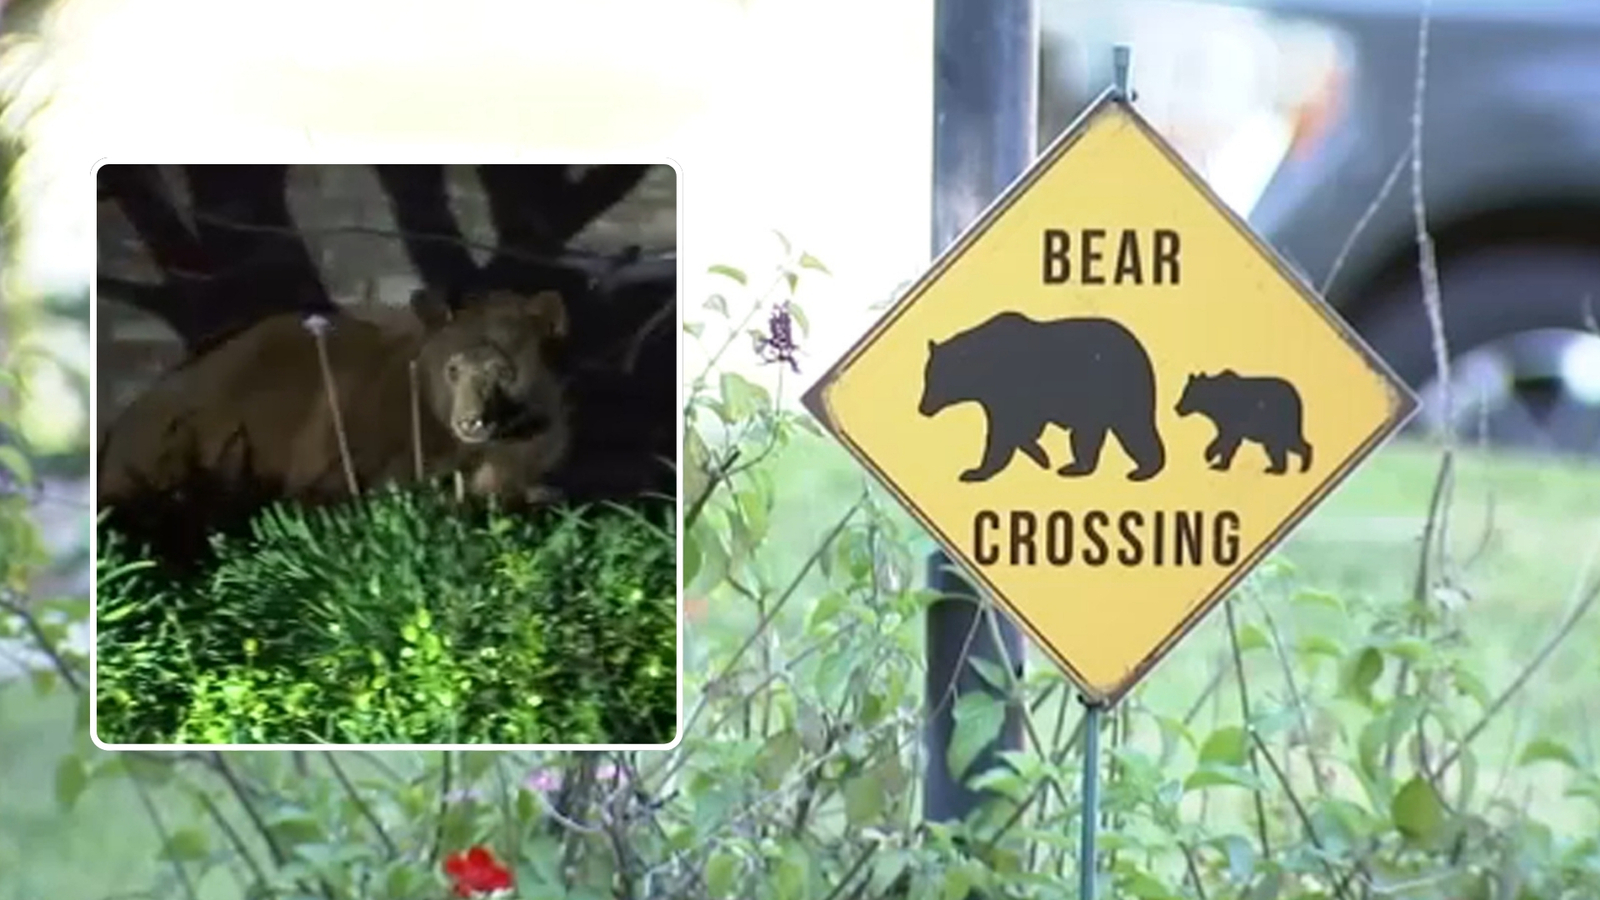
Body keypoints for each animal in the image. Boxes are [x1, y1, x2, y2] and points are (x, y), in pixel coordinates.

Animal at [918, 312, 1166, 483]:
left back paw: (1141, 470)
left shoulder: (1014, 389)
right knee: (1096, 433)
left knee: (1134, 427)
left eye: (936, 380)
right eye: (926, 377)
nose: (923, 408)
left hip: (1116, 387)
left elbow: (1005, 431)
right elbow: (1017, 427)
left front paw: (975, 471)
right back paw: (1079, 466)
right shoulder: (998, 397)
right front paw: (1039, 454)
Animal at [1173, 369, 1313, 475]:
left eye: (1187, 393)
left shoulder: (1232, 418)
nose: (1177, 408)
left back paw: (1298, 467)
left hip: (1279, 420)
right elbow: (1226, 438)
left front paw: (1211, 457)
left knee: (1286, 440)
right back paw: (1277, 468)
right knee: (1280, 444)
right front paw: (1218, 461)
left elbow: (1228, 438)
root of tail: (1297, 395)